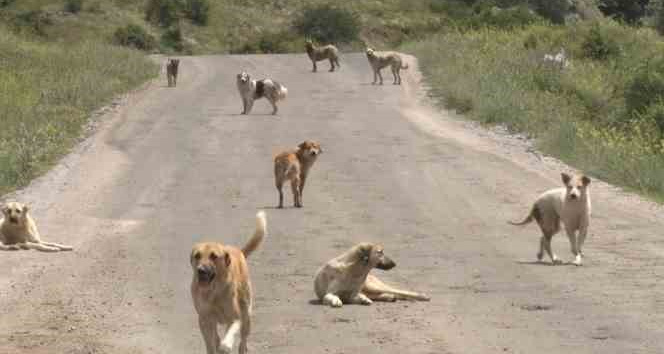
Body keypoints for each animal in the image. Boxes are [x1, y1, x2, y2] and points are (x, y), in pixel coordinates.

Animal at [189, 212, 268, 354]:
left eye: (214, 256)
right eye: (197, 255)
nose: (201, 270)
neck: (213, 291)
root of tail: (239, 251)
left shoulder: (235, 318)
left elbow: (228, 338)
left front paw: (226, 346)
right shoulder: (204, 319)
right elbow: (210, 343)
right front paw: (216, 346)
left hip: (247, 315)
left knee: (243, 340)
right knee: (217, 337)